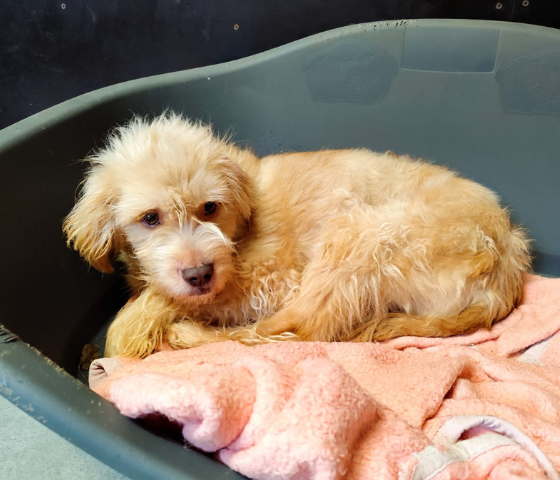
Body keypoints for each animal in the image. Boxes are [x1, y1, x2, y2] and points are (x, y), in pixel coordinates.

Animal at [63, 113, 531, 358]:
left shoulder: (274, 282)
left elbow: (156, 304)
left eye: (210, 207)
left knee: (297, 332)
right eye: (150, 218)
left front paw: (133, 330)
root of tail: (509, 259)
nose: (199, 274)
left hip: (358, 233)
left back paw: (188, 335)